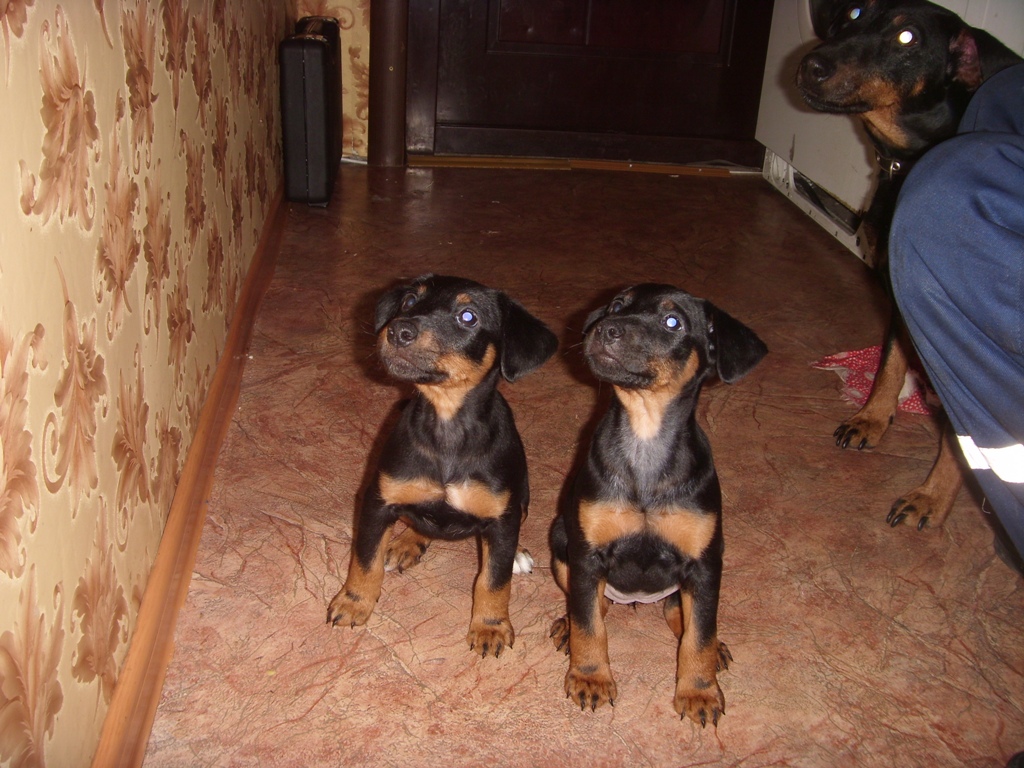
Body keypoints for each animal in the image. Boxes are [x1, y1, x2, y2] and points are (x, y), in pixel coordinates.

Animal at [327, 274, 558, 657]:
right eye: (409, 301)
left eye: (468, 316)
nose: (398, 331)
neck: (447, 427)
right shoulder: (378, 499)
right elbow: (365, 559)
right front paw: (353, 602)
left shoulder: (502, 516)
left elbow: (493, 580)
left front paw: (490, 626)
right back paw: (407, 543)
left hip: (522, 497)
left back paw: (517, 555)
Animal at [549, 284, 767, 725]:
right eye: (618, 305)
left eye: (673, 322)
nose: (606, 328)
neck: (645, 439)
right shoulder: (587, 554)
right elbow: (589, 625)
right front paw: (591, 677)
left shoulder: (704, 563)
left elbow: (699, 634)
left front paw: (699, 691)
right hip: (561, 540)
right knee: (595, 606)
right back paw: (567, 624)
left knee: (681, 617)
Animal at [797, 0, 1020, 530]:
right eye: (856, 13)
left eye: (907, 38)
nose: (811, 65)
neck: (909, 158)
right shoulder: (903, 293)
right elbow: (889, 363)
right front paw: (872, 419)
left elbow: (965, 438)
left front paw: (932, 497)